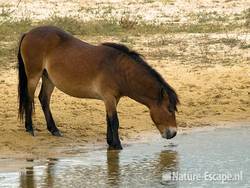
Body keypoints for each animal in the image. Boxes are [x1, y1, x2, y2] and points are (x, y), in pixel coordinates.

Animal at [16, 26, 179, 150]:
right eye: (170, 109)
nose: (173, 134)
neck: (118, 69)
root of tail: (28, 33)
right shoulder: (109, 97)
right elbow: (115, 121)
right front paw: (117, 145)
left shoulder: (113, 99)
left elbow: (108, 119)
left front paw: (110, 143)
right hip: (34, 76)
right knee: (29, 99)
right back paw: (30, 128)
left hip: (48, 78)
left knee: (44, 99)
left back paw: (54, 130)